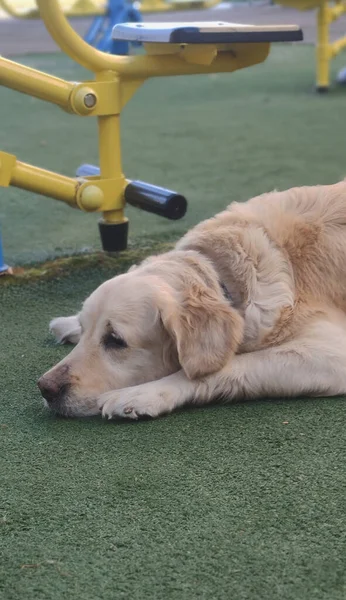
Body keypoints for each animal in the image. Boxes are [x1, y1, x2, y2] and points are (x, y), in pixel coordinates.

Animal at [37, 180, 346, 420]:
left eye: (115, 340)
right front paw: (69, 324)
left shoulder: (333, 355)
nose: (45, 387)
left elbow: (225, 367)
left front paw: (143, 393)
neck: (225, 273)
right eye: (86, 329)